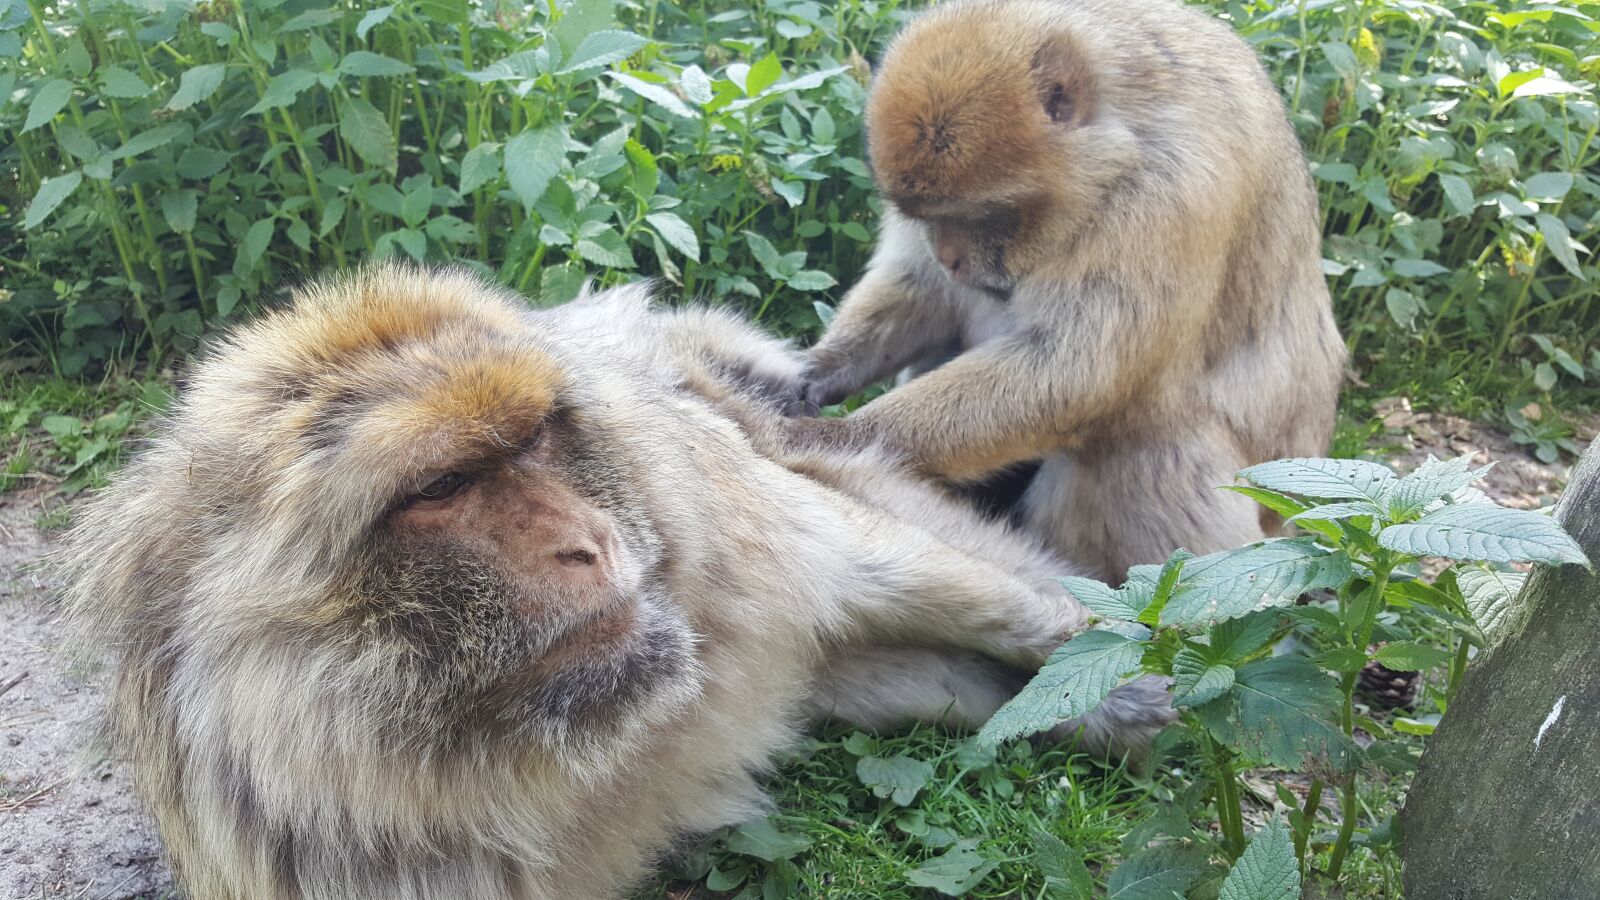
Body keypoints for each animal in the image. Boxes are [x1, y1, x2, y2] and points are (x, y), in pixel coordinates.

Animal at [59, 264, 1173, 900]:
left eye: (535, 438)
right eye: (443, 487)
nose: (585, 543)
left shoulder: (732, 525)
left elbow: (876, 560)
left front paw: (1110, 678)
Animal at [785, 0, 1347, 581]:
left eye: (984, 214)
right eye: (927, 218)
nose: (950, 258)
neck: (1124, 137)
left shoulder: (1174, 193)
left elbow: (1075, 375)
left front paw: (832, 439)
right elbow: (924, 292)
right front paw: (814, 372)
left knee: (1142, 444)